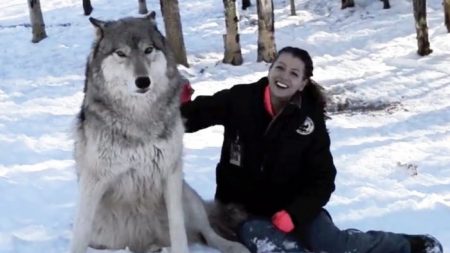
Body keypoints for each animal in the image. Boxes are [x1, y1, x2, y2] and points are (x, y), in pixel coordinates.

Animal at [71, 12, 250, 253]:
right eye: (121, 53)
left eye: (148, 50)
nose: (143, 81)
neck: (139, 119)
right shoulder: (94, 181)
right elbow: (79, 234)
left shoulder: (170, 174)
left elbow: (178, 229)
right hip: (104, 235)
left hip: (188, 196)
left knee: (208, 233)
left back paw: (233, 247)